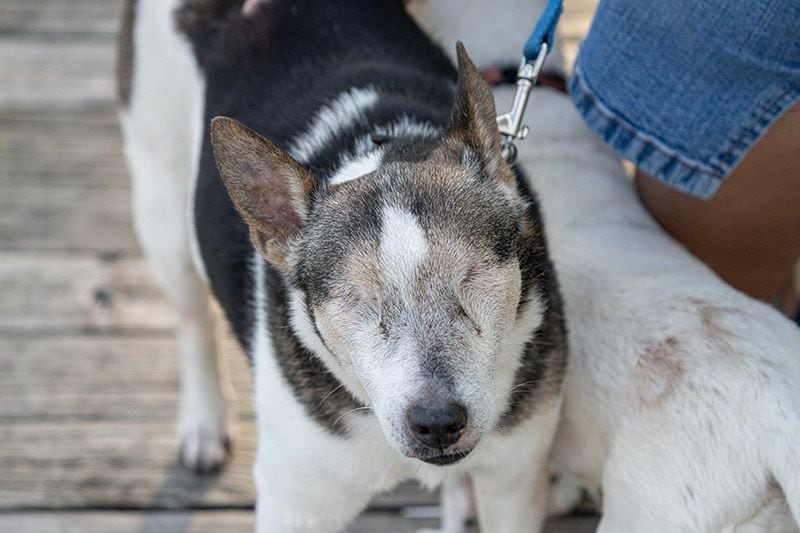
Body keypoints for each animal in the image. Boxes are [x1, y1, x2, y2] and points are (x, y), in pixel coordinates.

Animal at [119, 2, 568, 528]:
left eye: (473, 278)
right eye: (357, 302)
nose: (437, 423)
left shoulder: (513, 482)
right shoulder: (296, 504)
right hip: (161, 202)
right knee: (190, 310)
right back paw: (204, 422)